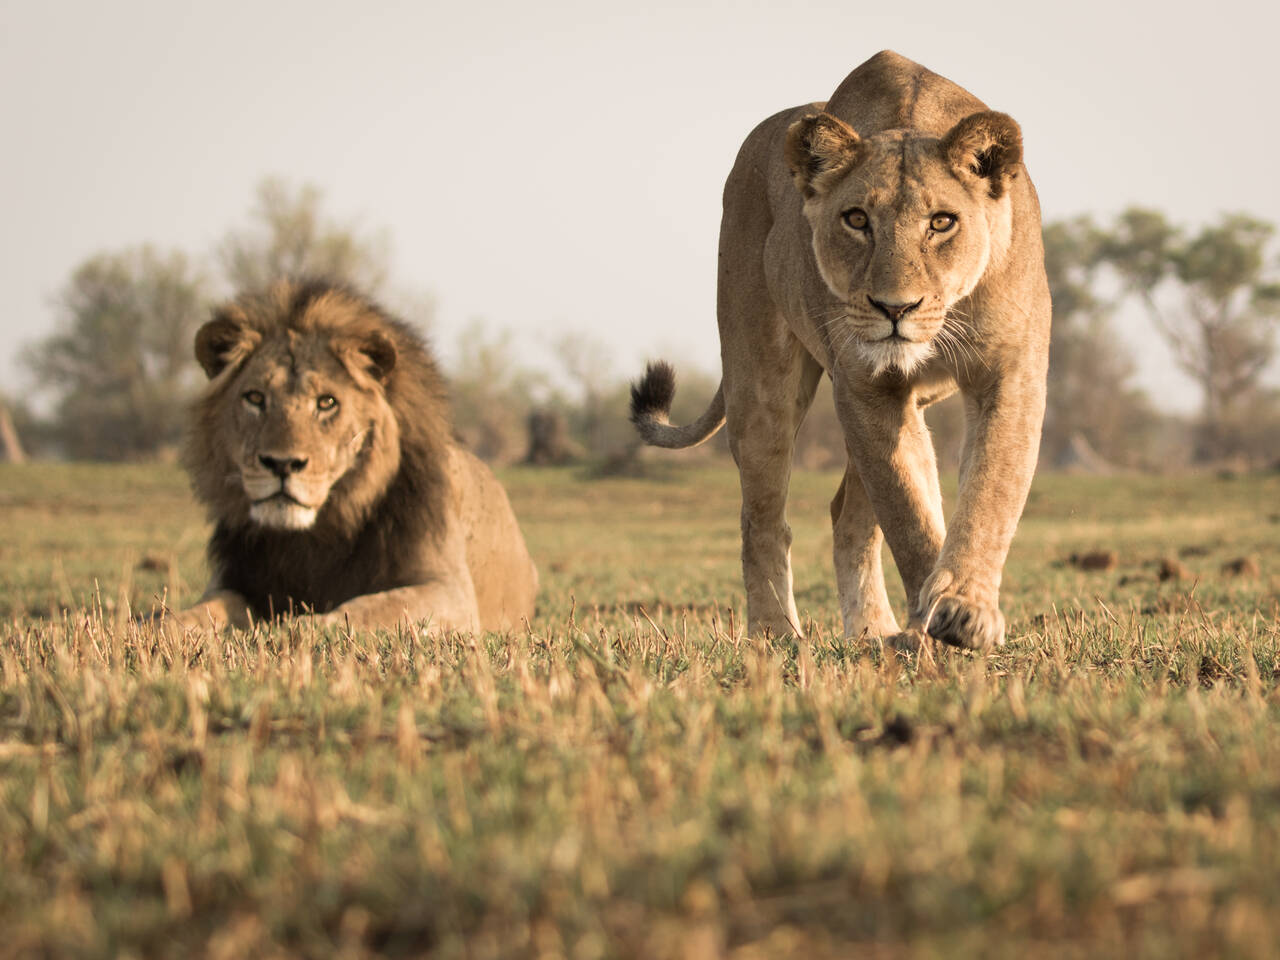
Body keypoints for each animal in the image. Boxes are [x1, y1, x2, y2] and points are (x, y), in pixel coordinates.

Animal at [167, 280, 537, 632]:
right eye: (255, 398)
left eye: (327, 402)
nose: (282, 464)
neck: (313, 536)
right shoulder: (237, 579)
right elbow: (203, 610)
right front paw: (160, 626)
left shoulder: (449, 591)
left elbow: (372, 608)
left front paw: (302, 626)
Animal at [632, 52, 1049, 655]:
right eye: (856, 219)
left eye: (941, 222)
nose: (895, 307)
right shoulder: (866, 386)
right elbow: (908, 512)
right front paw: (937, 618)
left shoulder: (1010, 374)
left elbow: (990, 490)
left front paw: (961, 610)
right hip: (761, 382)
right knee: (763, 518)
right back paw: (775, 635)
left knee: (848, 515)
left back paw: (874, 630)